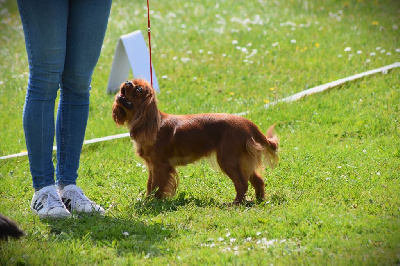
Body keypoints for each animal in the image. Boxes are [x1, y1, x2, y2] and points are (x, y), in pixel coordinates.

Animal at [111, 79, 278, 204]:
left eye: (138, 89)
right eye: (131, 82)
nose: (127, 82)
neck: (152, 123)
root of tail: (249, 124)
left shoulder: (160, 166)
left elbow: (157, 186)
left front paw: (153, 203)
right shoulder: (152, 166)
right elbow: (150, 186)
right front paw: (147, 200)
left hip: (228, 159)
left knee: (242, 184)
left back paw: (235, 204)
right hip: (241, 161)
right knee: (258, 180)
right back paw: (259, 200)